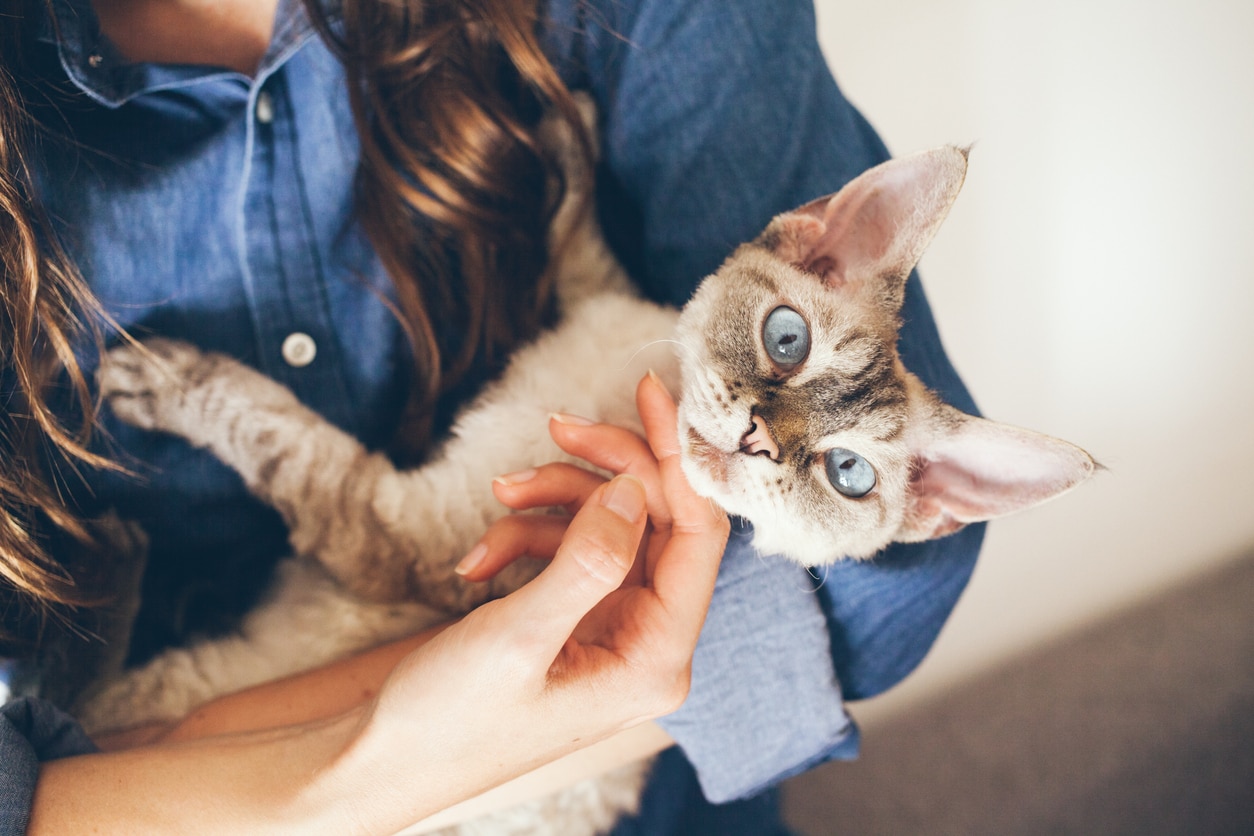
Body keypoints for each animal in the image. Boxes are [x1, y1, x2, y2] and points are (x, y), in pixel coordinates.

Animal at [80, 101, 1098, 832]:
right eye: (787, 341)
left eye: (848, 474)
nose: (760, 440)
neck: (616, 390)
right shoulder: (600, 302)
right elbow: (583, 247)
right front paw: (567, 140)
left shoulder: (408, 537)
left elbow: (262, 422)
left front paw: (152, 375)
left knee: (98, 715)